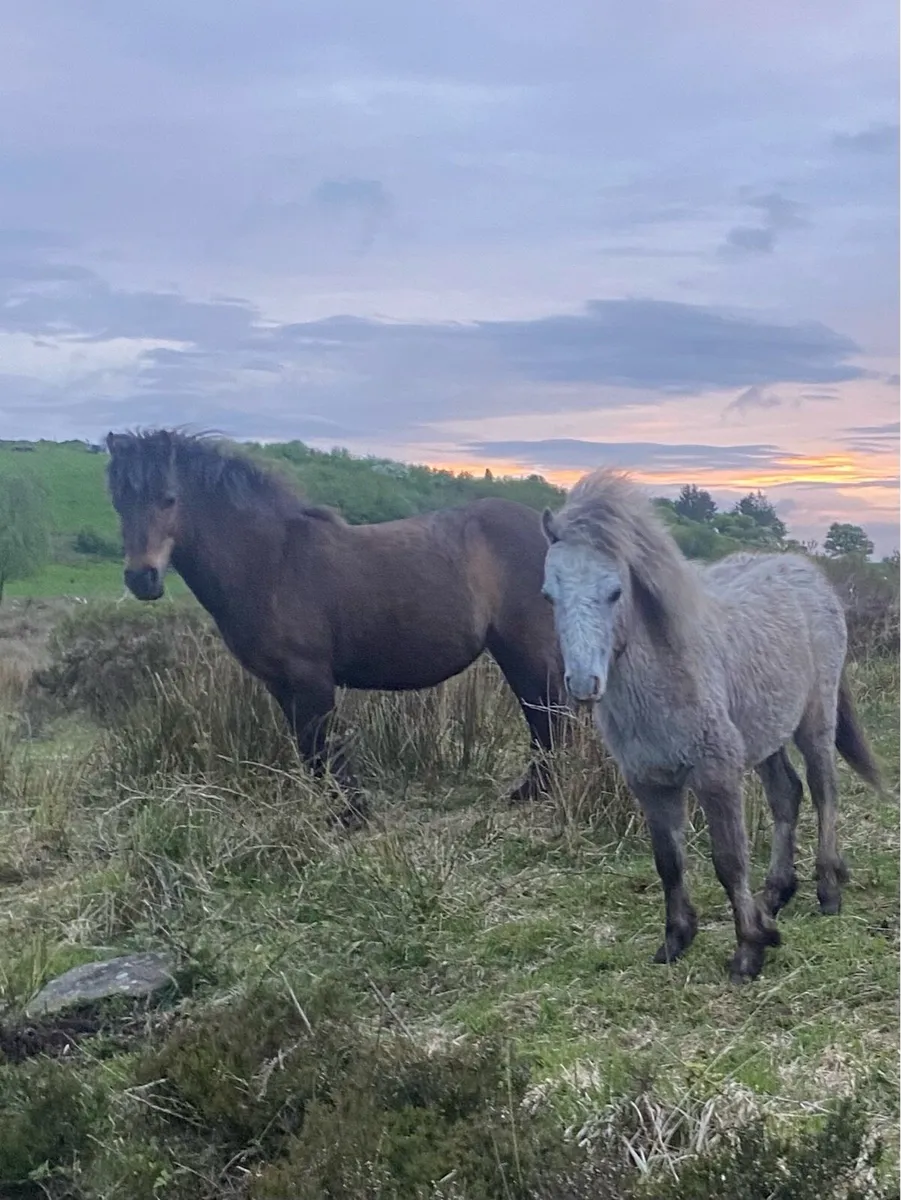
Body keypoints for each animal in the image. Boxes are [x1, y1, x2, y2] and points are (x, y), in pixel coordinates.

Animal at [105, 429, 566, 822]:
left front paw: (351, 814)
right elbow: (310, 753)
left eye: (168, 499)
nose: (141, 578)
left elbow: (325, 747)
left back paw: (535, 790)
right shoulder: (281, 684)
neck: (271, 562)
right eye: (118, 502)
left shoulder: (310, 678)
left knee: (547, 711)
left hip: (525, 645)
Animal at [540, 469, 883, 983]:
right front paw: (676, 940)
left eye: (615, 591)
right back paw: (775, 895)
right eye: (549, 595)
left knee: (825, 793)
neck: (669, 676)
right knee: (787, 794)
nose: (584, 684)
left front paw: (748, 952)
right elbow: (668, 861)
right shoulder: (649, 782)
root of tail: (807, 575)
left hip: (814, 722)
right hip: (765, 737)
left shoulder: (715, 774)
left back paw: (828, 890)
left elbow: (728, 859)